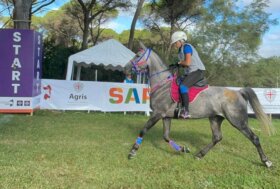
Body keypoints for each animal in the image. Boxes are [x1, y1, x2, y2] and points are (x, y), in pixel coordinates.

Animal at [126, 42, 274, 167]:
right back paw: (199, 155)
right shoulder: (166, 116)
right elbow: (166, 137)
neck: (163, 84)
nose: (125, 68)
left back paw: (266, 162)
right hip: (215, 118)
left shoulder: (157, 114)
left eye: (138, 55)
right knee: (217, 137)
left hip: (237, 121)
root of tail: (238, 92)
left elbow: (143, 130)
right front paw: (183, 149)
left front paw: (133, 151)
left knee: (254, 138)